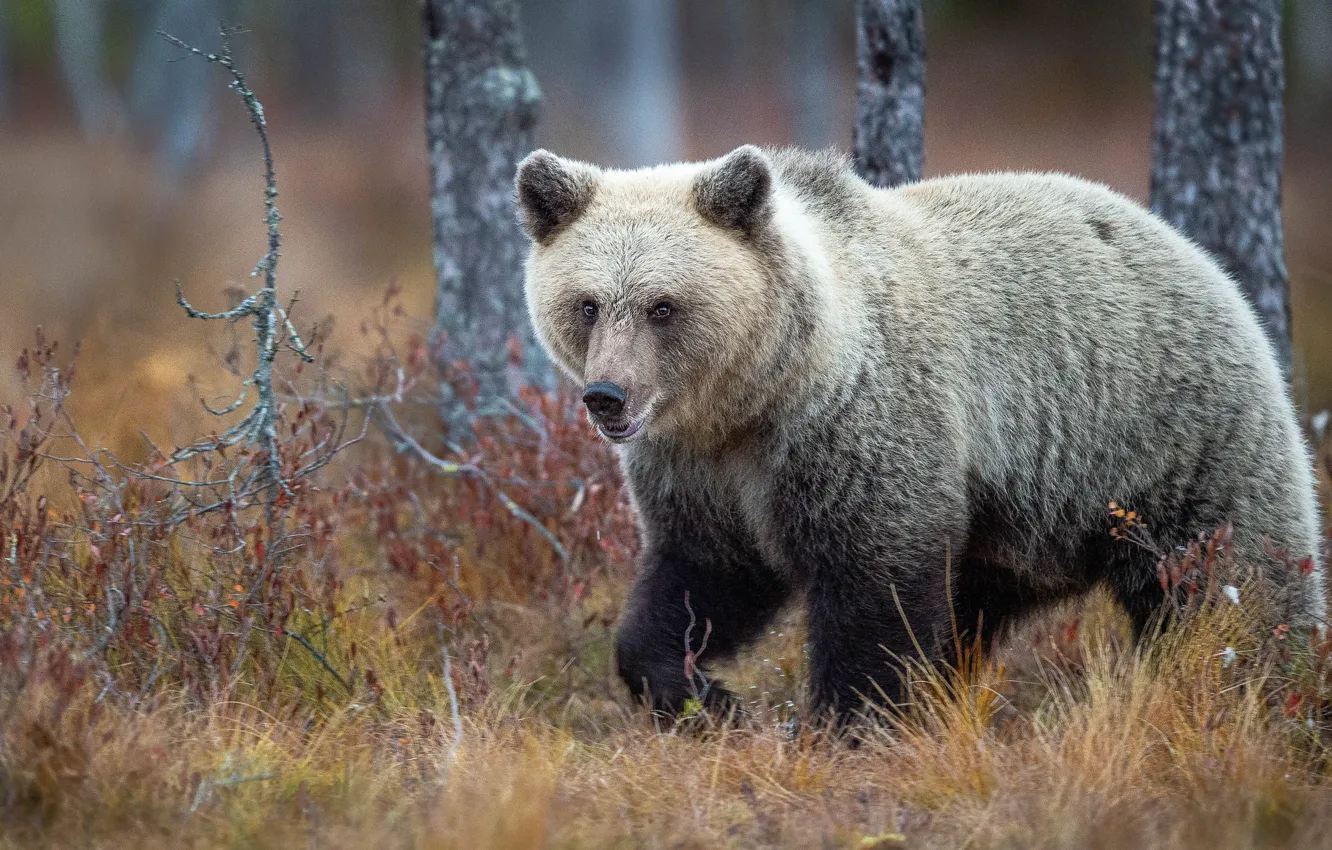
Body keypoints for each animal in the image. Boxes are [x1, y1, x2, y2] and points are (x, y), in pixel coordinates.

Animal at [514, 144, 1326, 725]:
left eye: (662, 305)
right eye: (587, 303)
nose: (607, 397)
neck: (758, 398)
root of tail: (1195, 251)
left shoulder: (859, 430)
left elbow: (875, 591)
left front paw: (847, 724)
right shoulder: (698, 471)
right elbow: (699, 580)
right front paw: (706, 699)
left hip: (1175, 439)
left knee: (1233, 583)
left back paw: (1259, 686)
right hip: (1018, 528)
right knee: (977, 612)